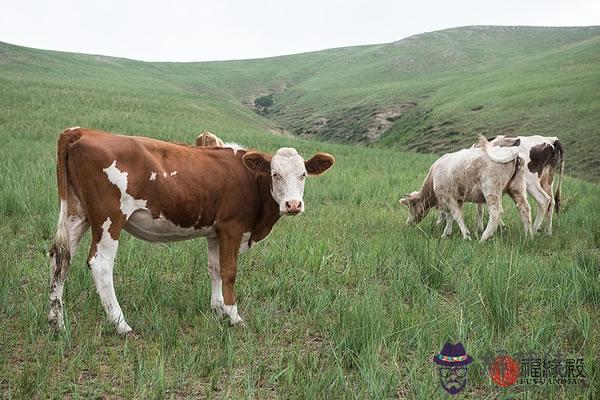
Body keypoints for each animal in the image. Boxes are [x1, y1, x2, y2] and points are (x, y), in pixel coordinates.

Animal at [48, 128, 336, 334]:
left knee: (60, 259)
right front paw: (234, 316)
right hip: (109, 219)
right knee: (100, 264)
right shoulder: (232, 227)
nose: (293, 205)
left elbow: (215, 269)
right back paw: (121, 324)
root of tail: (82, 131)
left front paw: (218, 310)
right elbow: (229, 271)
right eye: (275, 174)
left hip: (77, 215)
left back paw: (56, 322)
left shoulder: (215, 232)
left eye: (303, 175)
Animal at [400, 136, 532, 242]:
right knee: (525, 208)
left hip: (491, 189)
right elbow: (450, 216)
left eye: (411, 205)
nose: (408, 223)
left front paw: (466, 235)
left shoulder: (448, 196)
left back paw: (484, 238)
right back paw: (528, 237)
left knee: (496, 213)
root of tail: (513, 150)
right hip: (517, 187)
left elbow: (456, 215)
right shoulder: (457, 198)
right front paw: (446, 233)